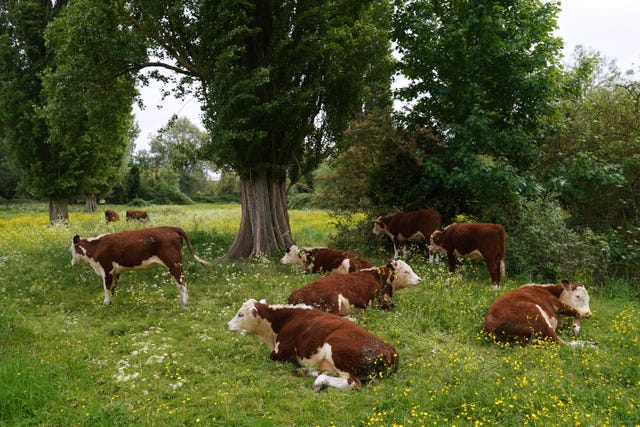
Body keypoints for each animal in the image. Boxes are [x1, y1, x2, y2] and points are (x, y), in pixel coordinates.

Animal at [70, 226, 210, 307]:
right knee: (179, 282)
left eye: (71, 249)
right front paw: (110, 303)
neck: (97, 246)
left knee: (181, 281)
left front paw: (105, 304)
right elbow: (113, 288)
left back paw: (184, 302)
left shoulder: (106, 269)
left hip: (174, 263)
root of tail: (170, 228)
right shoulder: (115, 272)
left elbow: (107, 288)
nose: (72, 262)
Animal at [228, 299, 399, 391]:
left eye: (241, 314)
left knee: (351, 383)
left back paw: (319, 381)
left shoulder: (279, 352)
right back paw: (304, 372)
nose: (228, 325)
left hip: (338, 352)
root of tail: (389, 350)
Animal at [288, 259, 421, 315]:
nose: (419, 279)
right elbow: (392, 306)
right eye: (405, 271)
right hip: (332, 302)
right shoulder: (377, 303)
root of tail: (295, 295)